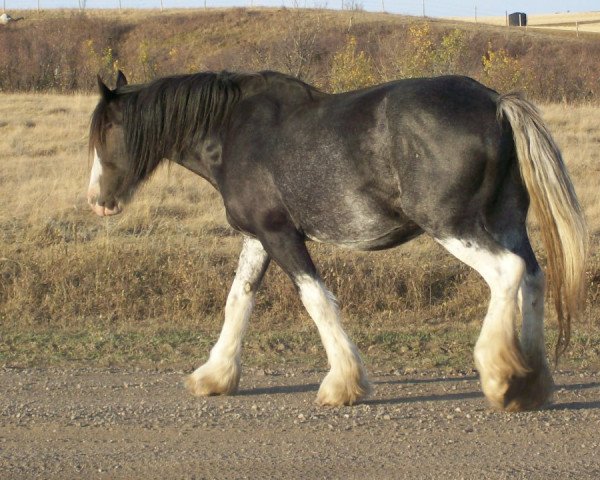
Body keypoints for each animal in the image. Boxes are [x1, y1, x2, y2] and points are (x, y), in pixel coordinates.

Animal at [85, 69, 584, 410]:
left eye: (107, 129)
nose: (97, 200)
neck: (234, 133)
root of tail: (496, 102)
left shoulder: (281, 235)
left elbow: (316, 300)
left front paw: (344, 383)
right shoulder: (258, 238)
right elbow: (238, 301)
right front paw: (215, 375)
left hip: (454, 226)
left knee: (508, 273)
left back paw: (500, 376)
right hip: (506, 221)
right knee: (534, 278)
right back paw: (531, 382)